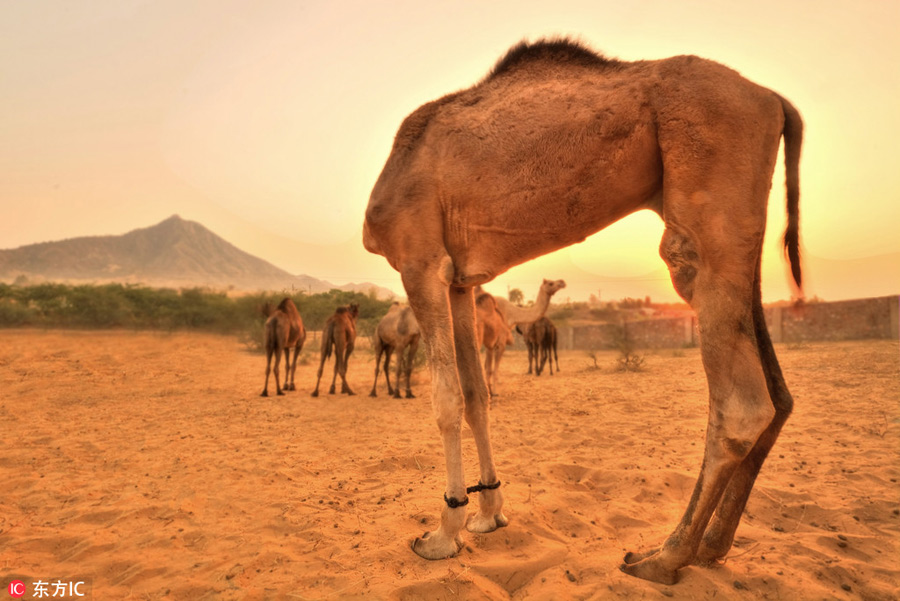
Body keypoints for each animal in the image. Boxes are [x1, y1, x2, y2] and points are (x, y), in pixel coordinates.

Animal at [362, 38, 804, 584]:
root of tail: (773, 101)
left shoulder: (420, 262)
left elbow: (445, 400)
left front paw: (443, 534)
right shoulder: (463, 280)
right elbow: (476, 395)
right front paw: (489, 514)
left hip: (706, 189)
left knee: (742, 402)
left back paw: (663, 557)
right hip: (744, 232)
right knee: (778, 395)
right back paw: (710, 548)